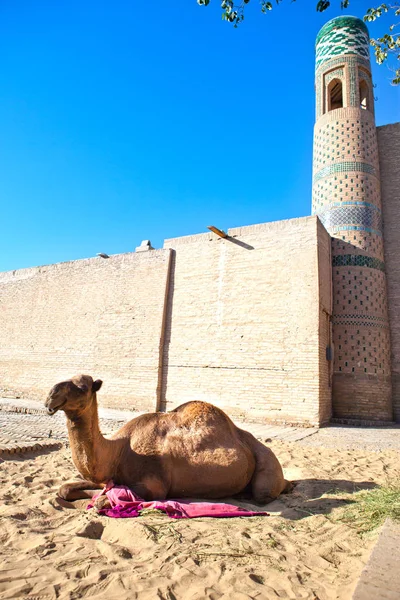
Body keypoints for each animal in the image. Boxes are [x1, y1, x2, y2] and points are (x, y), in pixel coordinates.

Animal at [45, 376, 292, 506]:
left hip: (266, 467)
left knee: (263, 493)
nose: (51, 396)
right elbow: (64, 490)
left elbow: (103, 500)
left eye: (82, 387)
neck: (119, 450)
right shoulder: (109, 477)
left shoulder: (154, 486)